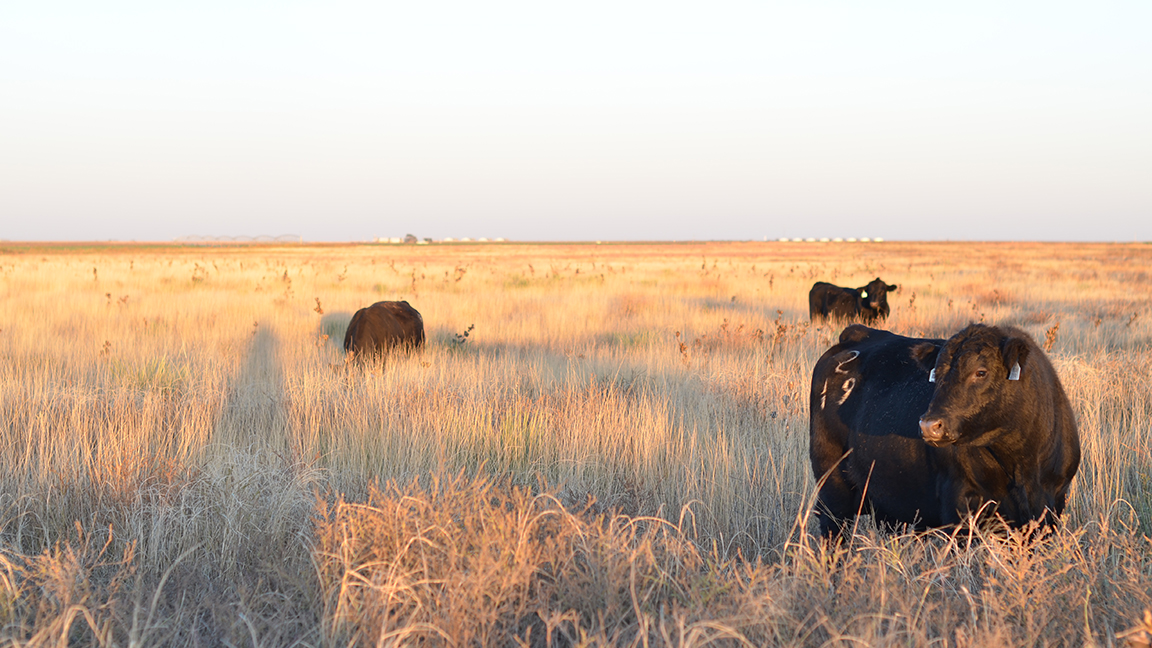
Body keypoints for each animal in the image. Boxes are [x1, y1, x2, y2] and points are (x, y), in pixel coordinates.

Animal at [811, 322, 1078, 535]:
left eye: (981, 372)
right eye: (935, 374)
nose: (930, 426)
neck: (1022, 464)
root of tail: (856, 335)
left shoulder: (1052, 503)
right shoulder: (958, 503)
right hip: (832, 489)